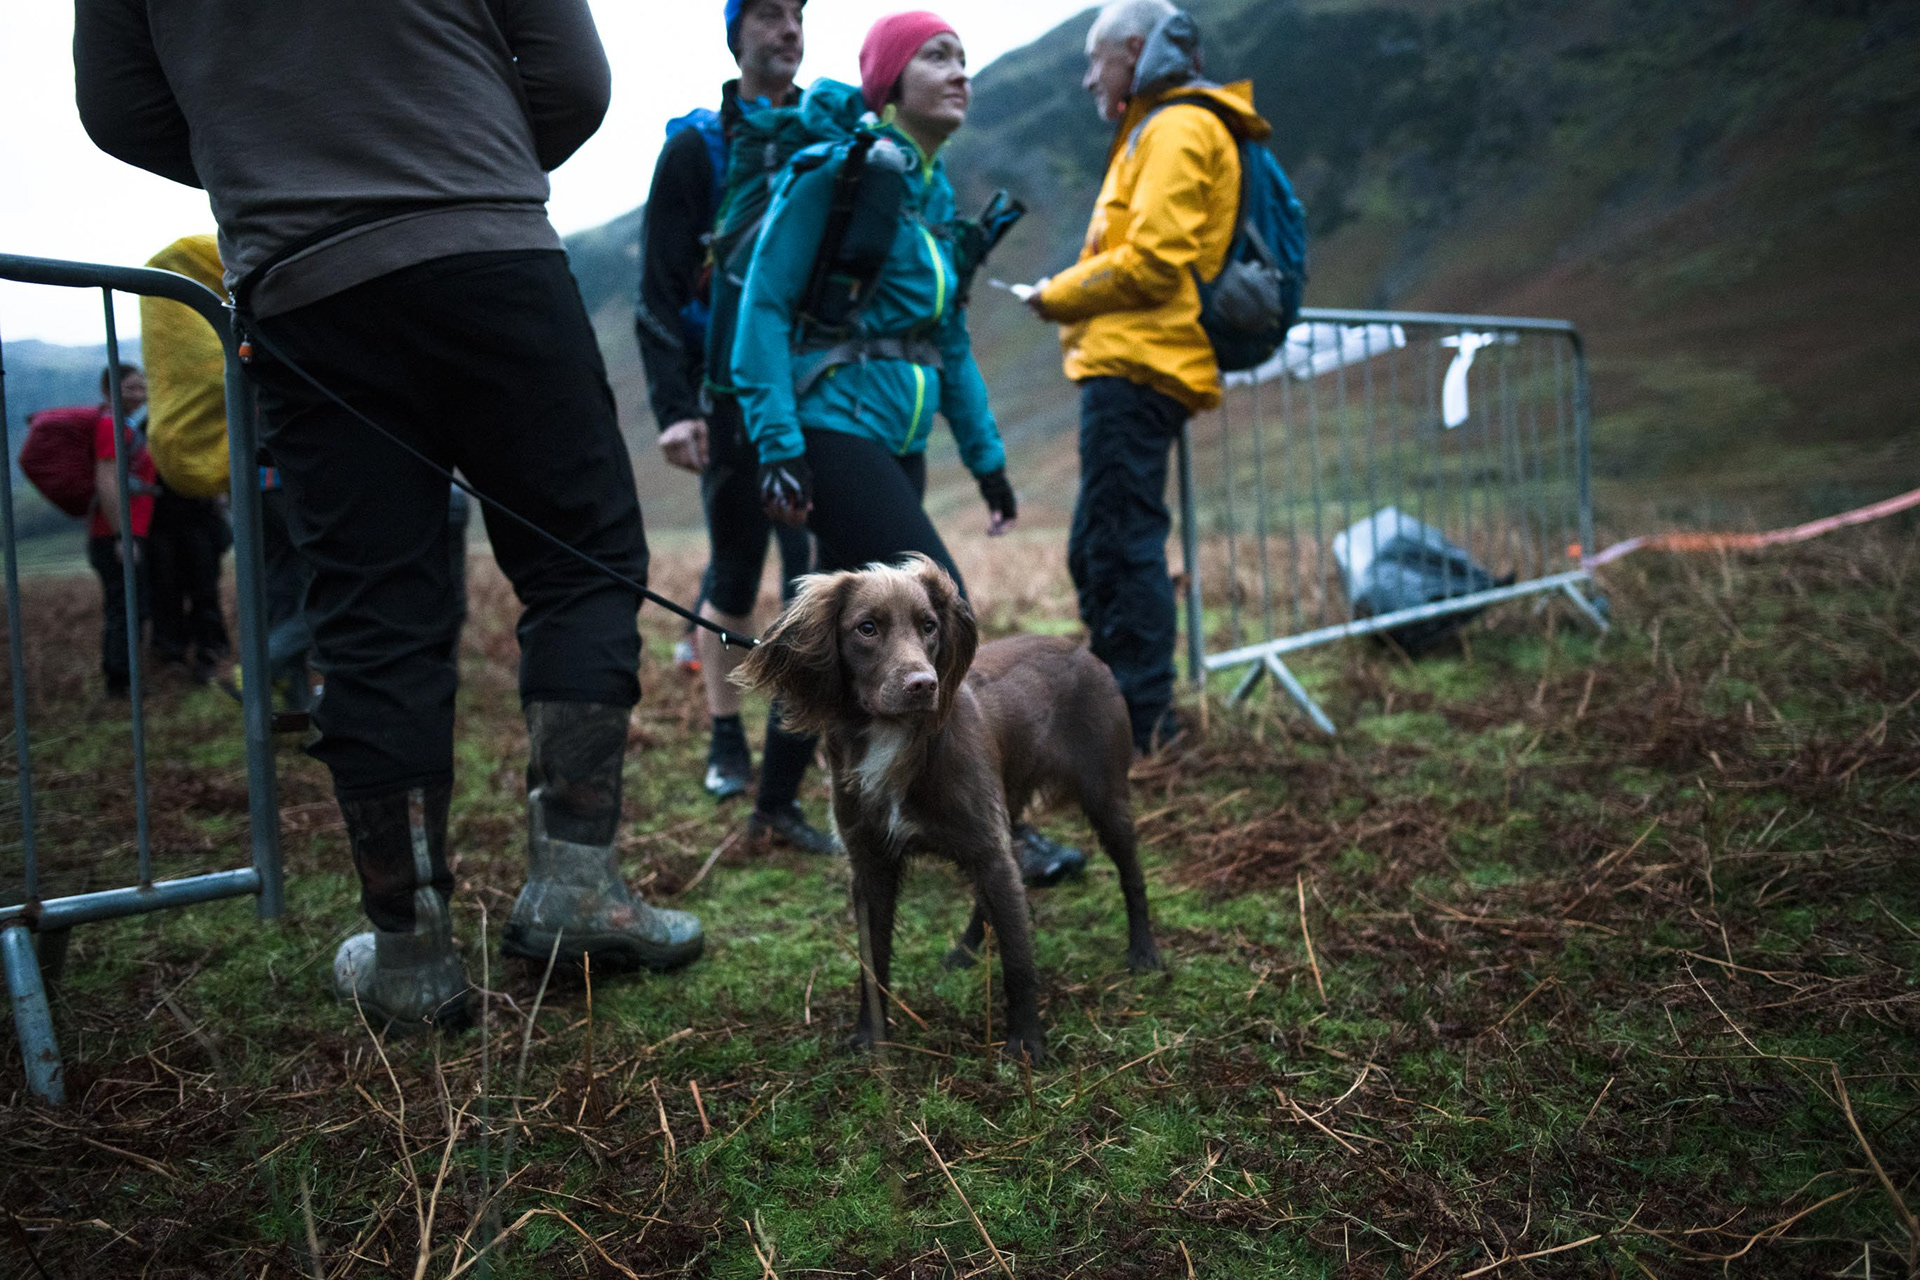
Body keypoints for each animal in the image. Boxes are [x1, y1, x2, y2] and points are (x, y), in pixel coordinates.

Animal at [734, 554, 1160, 1063]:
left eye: (929, 626)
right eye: (867, 628)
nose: (923, 684)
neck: (896, 739)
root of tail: (1083, 650)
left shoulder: (985, 847)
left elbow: (1019, 959)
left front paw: (1026, 1044)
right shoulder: (871, 864)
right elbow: (872, 962)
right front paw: (870, 1037)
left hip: (1105, 797)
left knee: (1131, 875)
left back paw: (1144, 953)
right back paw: (965, 951)